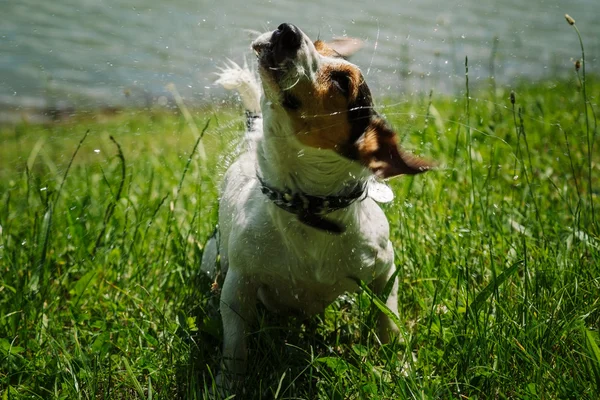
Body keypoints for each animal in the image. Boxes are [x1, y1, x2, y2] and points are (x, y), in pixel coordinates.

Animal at [202, 22, 432, 390]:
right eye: (319, 46)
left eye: (342, 82)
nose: (287, 29)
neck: (310, 209)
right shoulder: (239, 284)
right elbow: (235, 341)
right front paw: (228, 385)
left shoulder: (385, 267)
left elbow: (389, 319)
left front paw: (400, 365)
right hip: (214, 262)